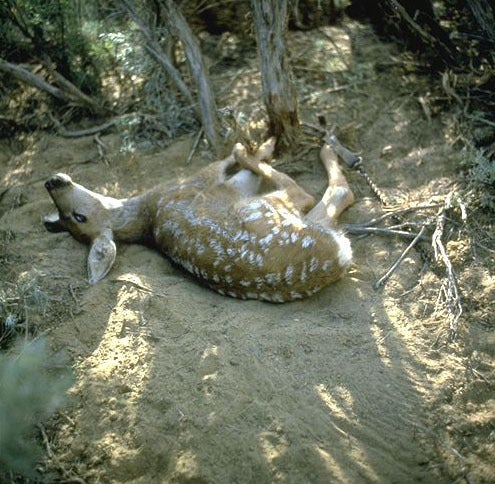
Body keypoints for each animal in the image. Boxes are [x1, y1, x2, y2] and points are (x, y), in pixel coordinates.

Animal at [43, 138, 352, 300]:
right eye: (79, 216)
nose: (51, 181)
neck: (144, 213)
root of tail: (339, 256)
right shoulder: (197, 180)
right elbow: (224, 162)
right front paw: (260, 146)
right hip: (266, 206)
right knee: (322, 192)